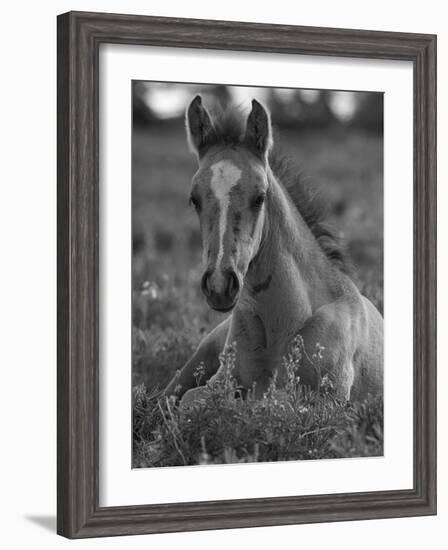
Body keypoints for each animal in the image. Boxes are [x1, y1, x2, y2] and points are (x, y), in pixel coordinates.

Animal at [164, 95, 382, 406]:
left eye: (260, 197)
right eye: (194, 199)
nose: (219, 285)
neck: (280, 325)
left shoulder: (328, 400)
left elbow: (265, 402)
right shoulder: (219, 381)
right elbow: (191, 402)